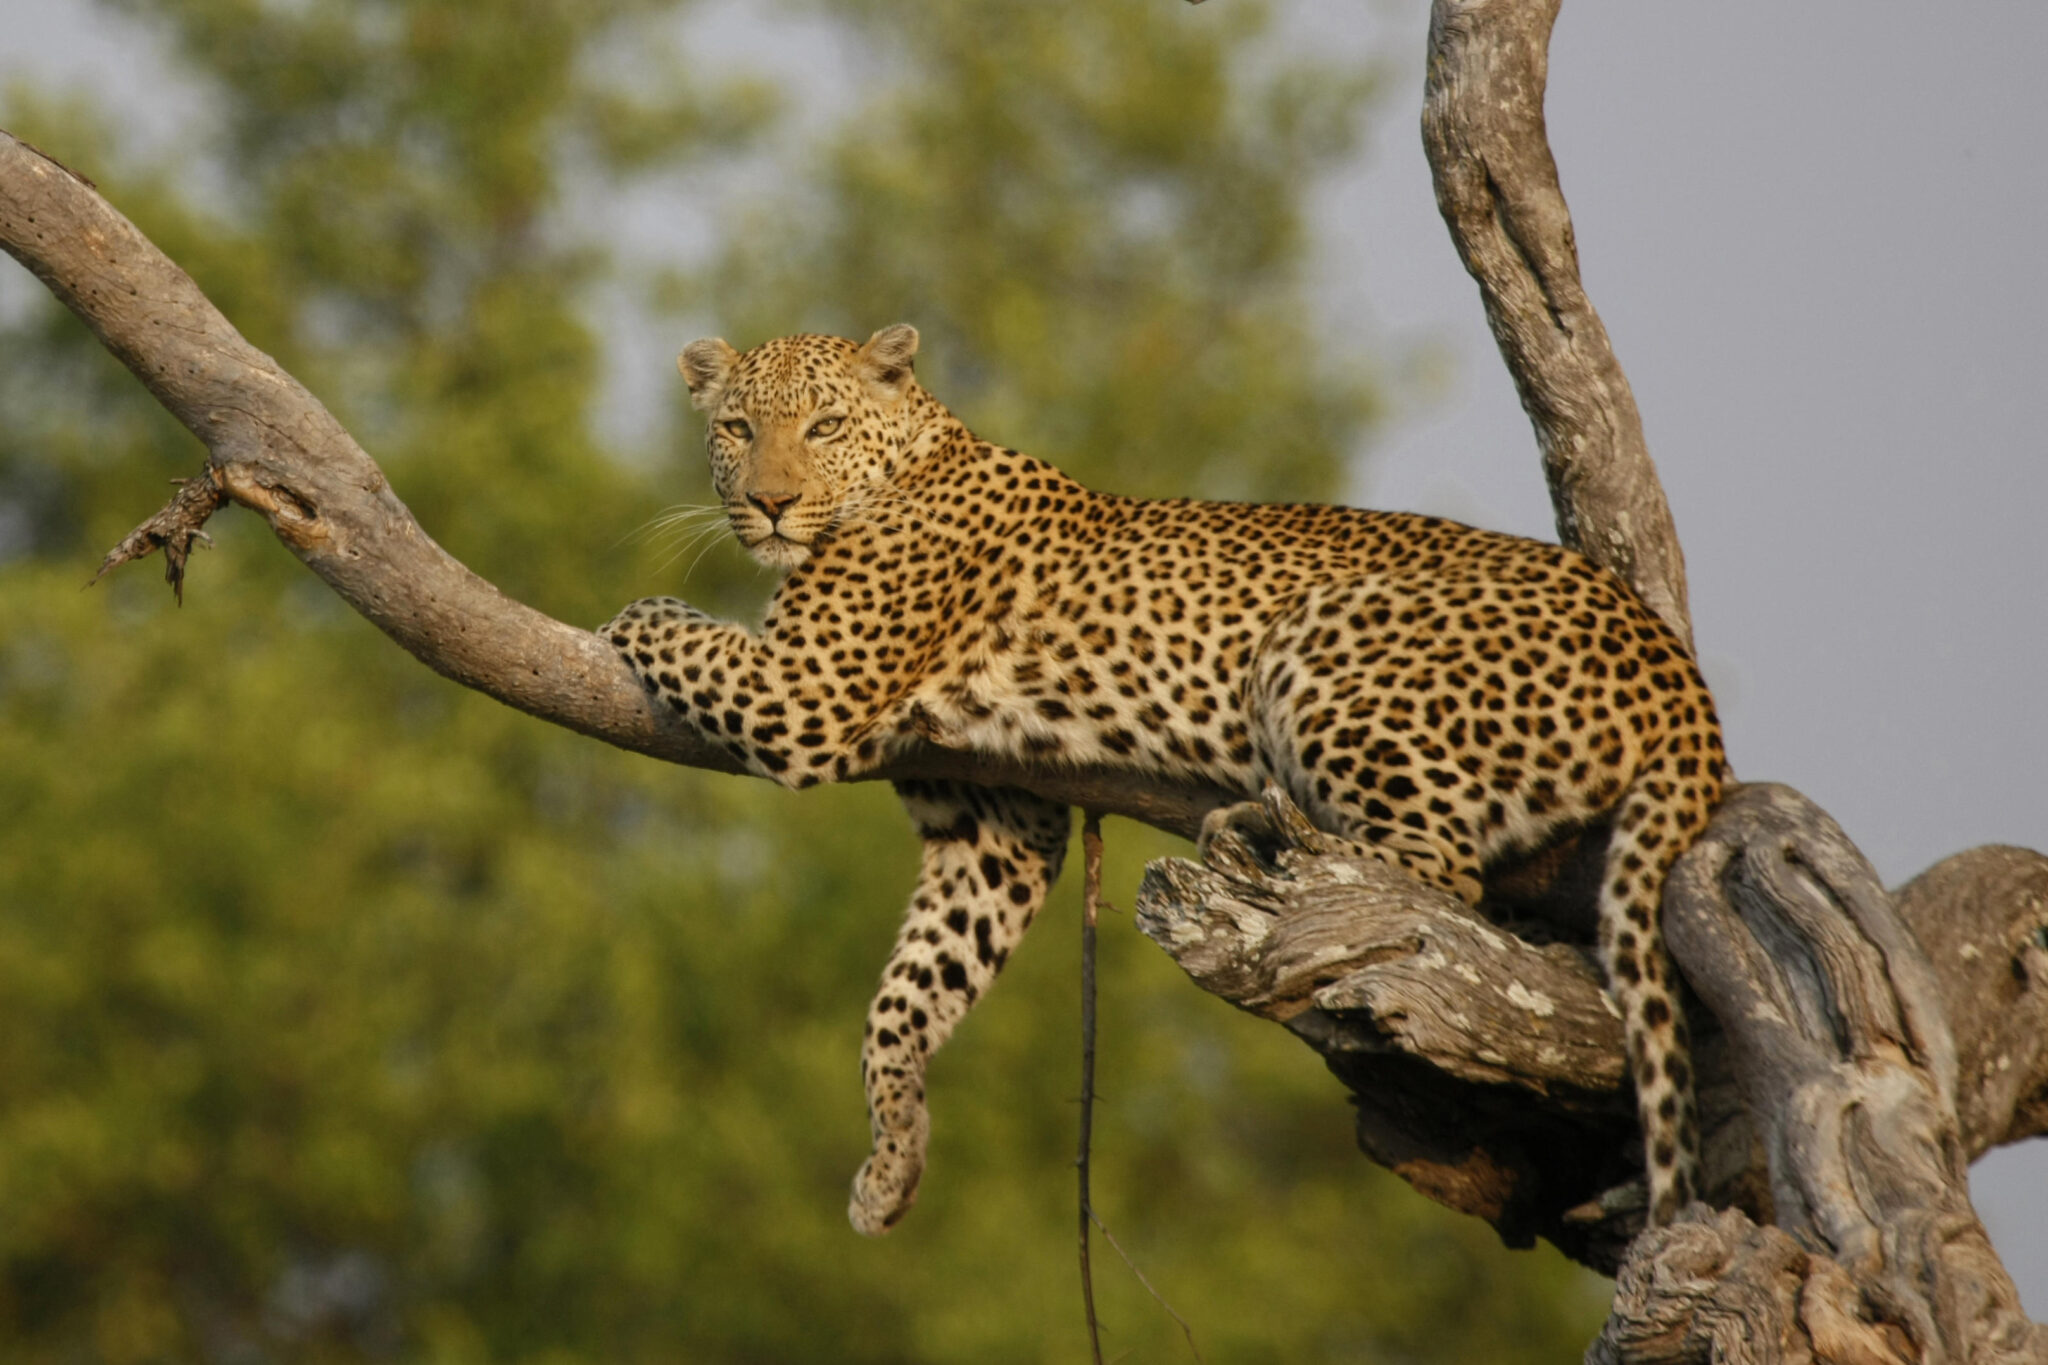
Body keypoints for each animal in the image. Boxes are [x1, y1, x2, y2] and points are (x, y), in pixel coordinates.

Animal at [604, 324, 1726, 1235]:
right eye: (738, 427)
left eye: (825, 424)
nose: (770, 503)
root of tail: (1673, 665)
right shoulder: (993, 823)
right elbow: (913, 987)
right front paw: (893, 1160)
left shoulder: (805, 691)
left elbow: (665, 625)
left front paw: (629, 616)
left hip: (1316, 636)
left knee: (1433, 873)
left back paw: (1262, 841)